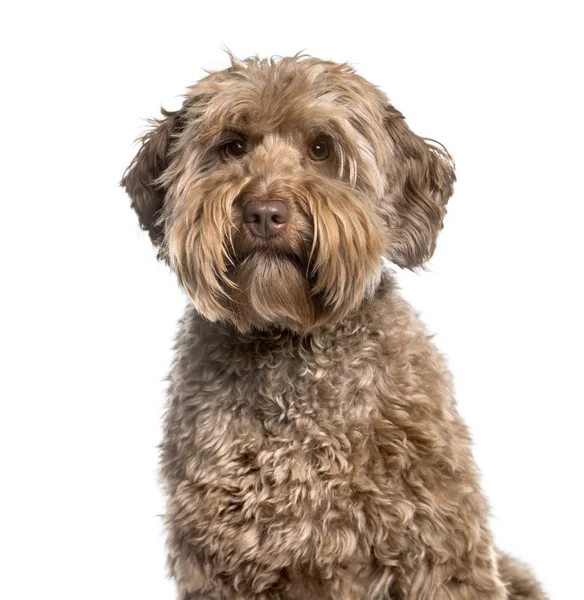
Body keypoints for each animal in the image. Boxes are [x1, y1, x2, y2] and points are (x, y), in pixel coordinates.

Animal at [121, 54, 544, 596]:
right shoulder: (221, 559)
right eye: (233, 146)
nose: (264, 212)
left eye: (321, 149)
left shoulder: (438, 546)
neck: (289, 346)